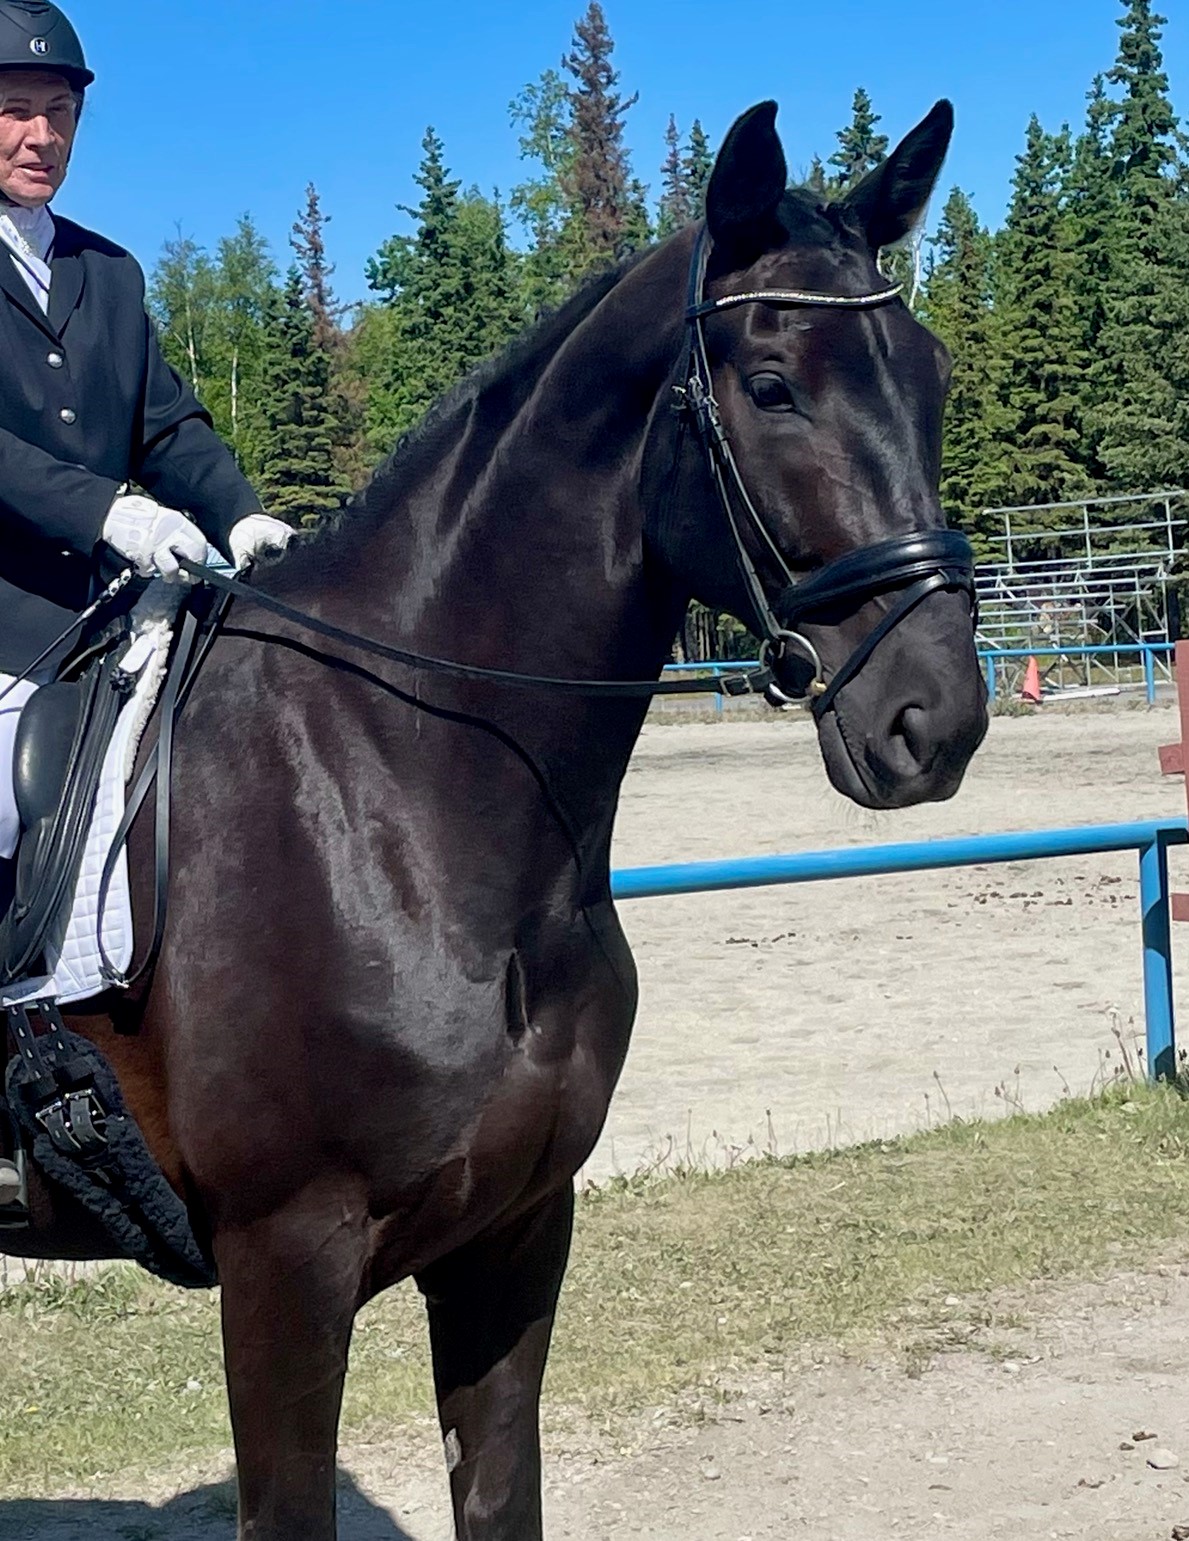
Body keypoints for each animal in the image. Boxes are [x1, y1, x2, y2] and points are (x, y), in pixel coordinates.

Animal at [3, 100, 987, 1539]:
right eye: (770, 386)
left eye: (930, 378)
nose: (938, 718)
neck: (399, 797)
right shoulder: (283, 1263)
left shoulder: (514, 1232)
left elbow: (501, 1486)